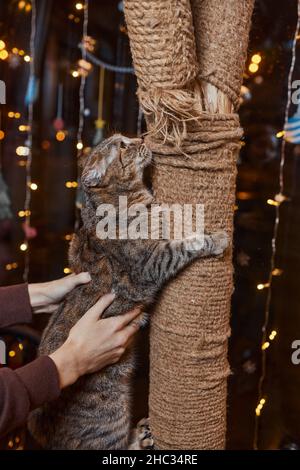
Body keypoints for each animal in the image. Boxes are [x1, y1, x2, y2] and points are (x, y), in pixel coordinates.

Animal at [28, 134, 229, 450]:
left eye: (126, 138)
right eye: (123, 146)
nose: (142, 137)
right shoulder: (151, 263)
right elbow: (186, 244)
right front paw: (215, 239)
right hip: (109, 420)